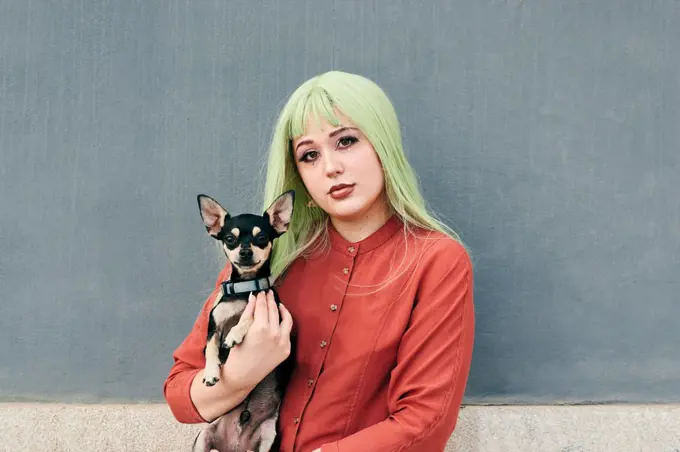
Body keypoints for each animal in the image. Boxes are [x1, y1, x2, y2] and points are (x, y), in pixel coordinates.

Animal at [193, 191, 296, 452]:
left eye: (262, 238)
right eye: (230, 239)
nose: (246, 252)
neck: (244, 288)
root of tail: (235, 446)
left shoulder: (271, 311)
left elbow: (248, 317)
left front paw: (236, 334)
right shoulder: (213, 328)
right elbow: (211, 348)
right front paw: (211, 372)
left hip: (268, 438)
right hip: (203, 437)